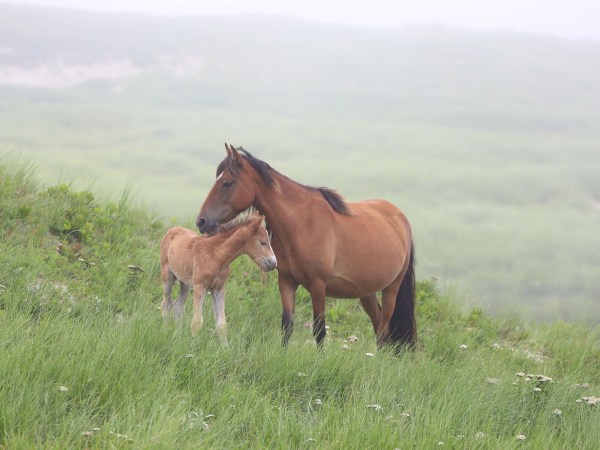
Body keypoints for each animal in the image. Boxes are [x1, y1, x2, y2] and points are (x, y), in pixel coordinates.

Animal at [159, 213, 276, 342]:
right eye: (263, 242)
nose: (273, 263)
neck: (216, 256)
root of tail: (172, 229)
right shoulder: (200, 286)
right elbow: (197, 321)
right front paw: (193, 344)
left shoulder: (218, 289)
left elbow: (221, 324)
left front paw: (225, 346)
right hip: (167, 277)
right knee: (166, 304)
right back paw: (165, 331)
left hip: (185, 283)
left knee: (178, 306)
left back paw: (178, 335)